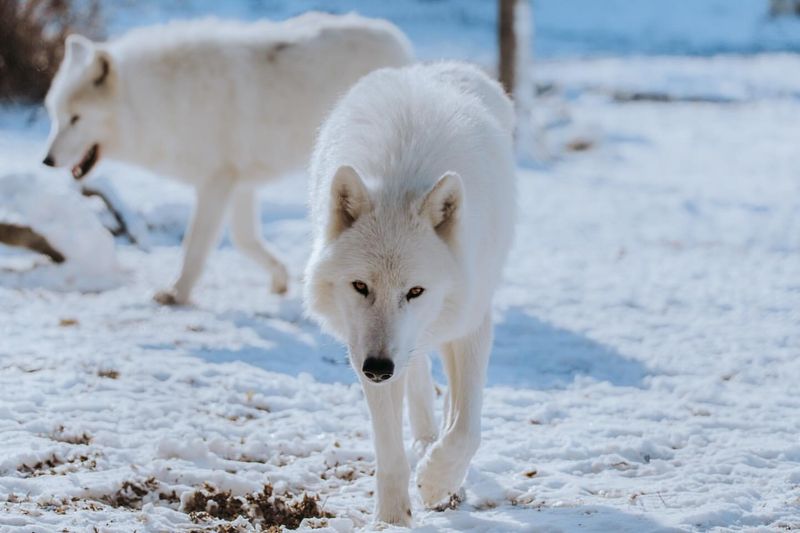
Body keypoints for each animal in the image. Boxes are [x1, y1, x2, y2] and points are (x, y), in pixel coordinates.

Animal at [42, 12, 412, 304]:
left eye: (76, 119)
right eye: (56, 116)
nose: (47, 160)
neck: (160, 100)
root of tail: (397, 38)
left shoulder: (215, 182)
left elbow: (194, 246)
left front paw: (176, 293)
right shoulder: (240, 183)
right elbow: (243, 239)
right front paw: (279, 279)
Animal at [304, 62, 516, 524]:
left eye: (415, 290)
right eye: (360, 286)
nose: (378, 368)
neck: (400, 178)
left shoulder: (472, 321)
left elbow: (467, 428)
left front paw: (437, 481)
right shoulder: (365, 349)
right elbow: (389, 452)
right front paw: (392, 519)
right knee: (418, 374)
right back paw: (423, 440)